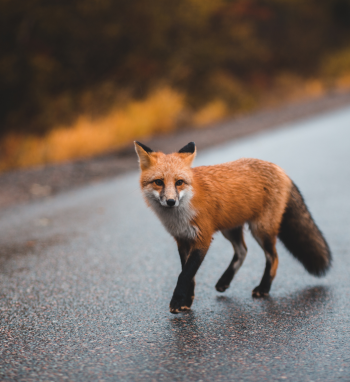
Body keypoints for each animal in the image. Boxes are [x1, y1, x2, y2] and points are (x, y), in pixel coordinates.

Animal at [133, 140, 330, 314]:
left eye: (179, 182)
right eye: (159, 182)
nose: (171, 201)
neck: (181, 214)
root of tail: (279, 169)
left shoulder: (203, 238)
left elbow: (185, 274)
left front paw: (177, 301)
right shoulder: (182, 239)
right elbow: (189, 275)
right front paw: (186, 301)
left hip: (260, 229)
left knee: (273, 257)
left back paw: (264, 288)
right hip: (230, 229)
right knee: (242, 251)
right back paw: (224, 281)